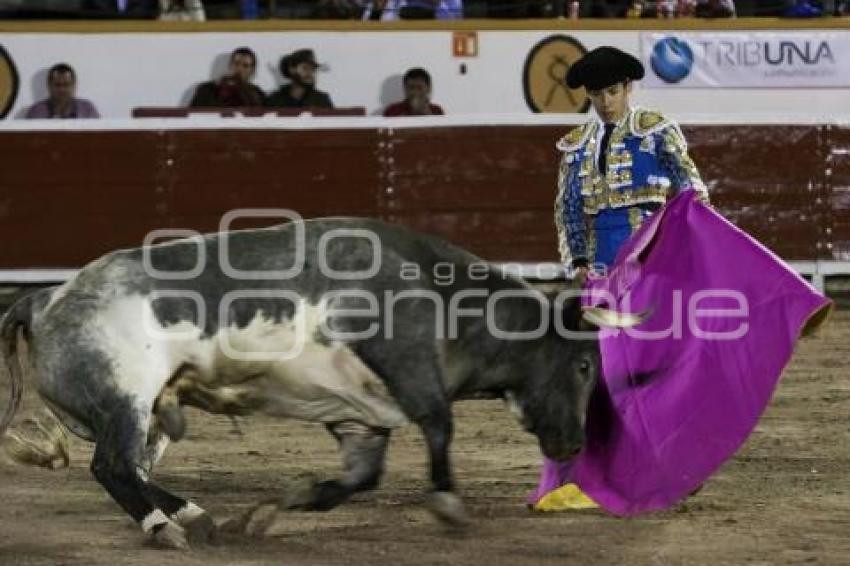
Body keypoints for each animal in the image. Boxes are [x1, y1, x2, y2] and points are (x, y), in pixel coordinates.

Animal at [0, 217, 640, 552]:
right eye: (584, 367)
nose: (574, 445)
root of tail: (45, 297)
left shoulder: (361, 416)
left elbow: (360, 478)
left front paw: (285, 503)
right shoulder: (411, 372)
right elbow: (440, 425)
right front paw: (448, 504)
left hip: (144, 411)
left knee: (132, 469)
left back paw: (196, 517)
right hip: (126, 400)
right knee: (112, 467)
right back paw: (166, 528)